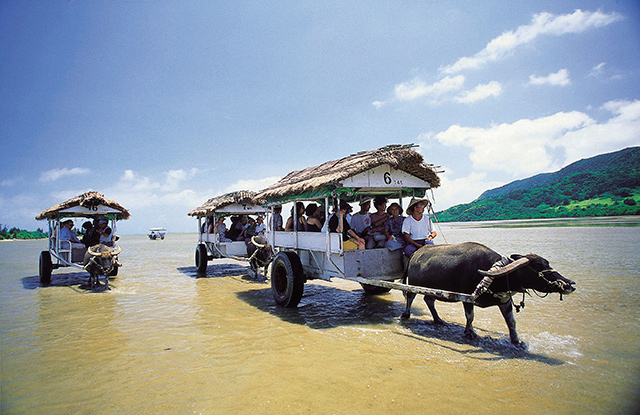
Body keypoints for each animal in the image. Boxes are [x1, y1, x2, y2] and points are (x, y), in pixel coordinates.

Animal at [402, 242, 576, 346]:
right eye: (538, 266)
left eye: (547, 263)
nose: (569, 284)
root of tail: (416, 253)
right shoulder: (468, 298)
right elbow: (470, 317)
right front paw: (470, 333)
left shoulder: (505, 301)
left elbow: (511, 321)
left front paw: (516, 341)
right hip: (413, 285)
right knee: (410, 297)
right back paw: (406, 315)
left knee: (429, 300)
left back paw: (438, 320)